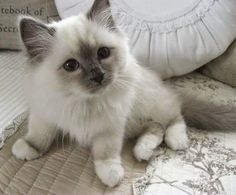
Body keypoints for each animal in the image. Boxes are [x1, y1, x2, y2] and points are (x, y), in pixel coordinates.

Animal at [12, 0, 236, 187]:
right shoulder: (45, 113)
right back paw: (143, 151)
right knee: (155, 127)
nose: (98, 76)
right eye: (71, 66)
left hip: (151, 104)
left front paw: (110, 175)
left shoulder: (110, 126)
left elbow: (105, 153)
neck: (82, 101)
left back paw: (175, 141)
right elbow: (39, 135)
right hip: (136, 121)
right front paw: (28, 148)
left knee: (174, 118)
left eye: (103, 53)